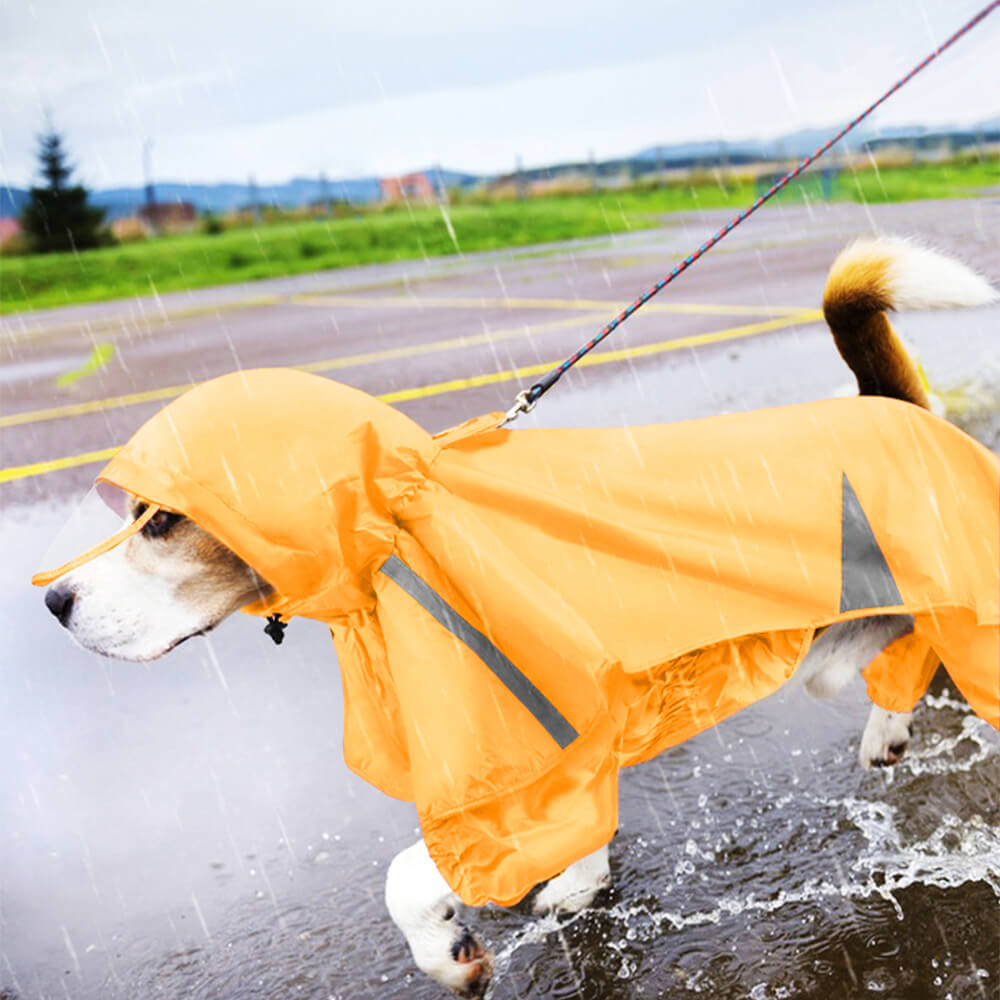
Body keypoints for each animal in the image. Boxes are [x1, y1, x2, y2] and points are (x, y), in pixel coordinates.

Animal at [39, 238, 1000, 996]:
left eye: (162, 522)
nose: (52, 600)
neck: (403, 517)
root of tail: (889, 401)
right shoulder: (565, 748)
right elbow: (576, 833)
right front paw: (575, 884)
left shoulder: (521, 757)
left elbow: (409, 878)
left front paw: (452, 953)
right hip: (842, 649)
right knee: (896, 653)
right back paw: (886, 730)